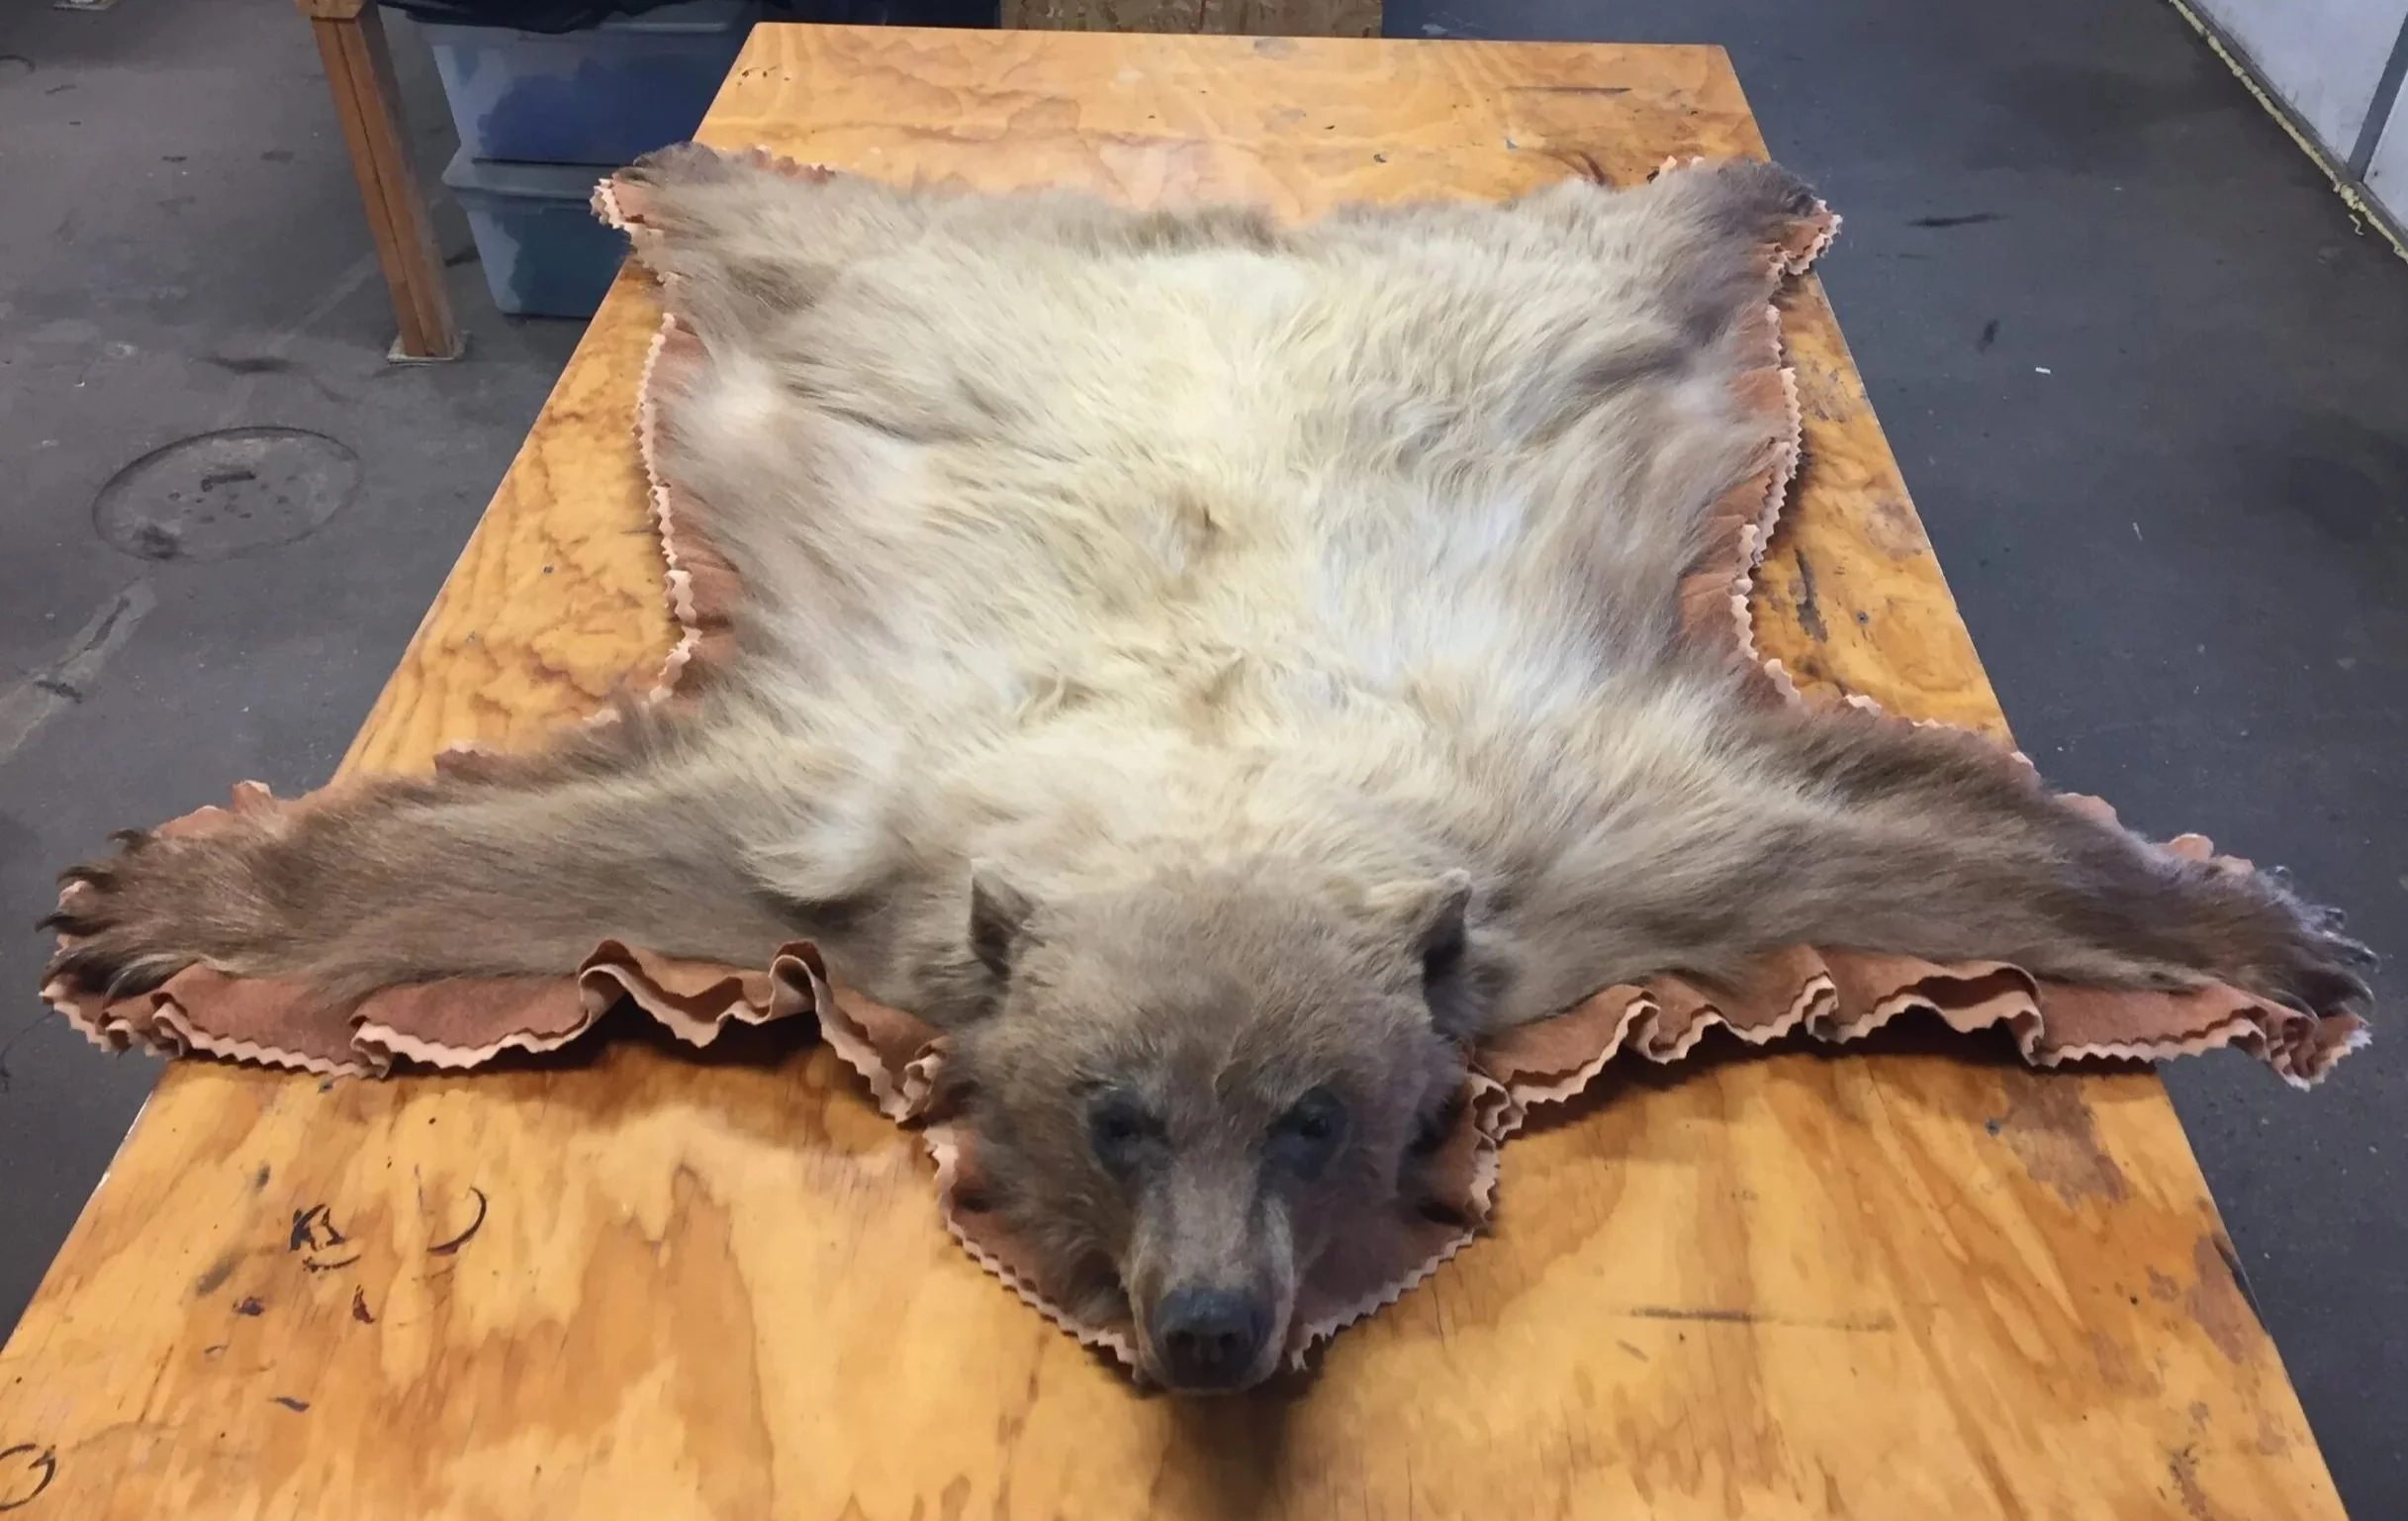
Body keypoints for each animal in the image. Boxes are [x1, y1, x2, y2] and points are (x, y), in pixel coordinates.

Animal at [43, 147, 2370, 1393]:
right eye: (1114, 1116)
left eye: (1318, 1120)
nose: (1212, 1328)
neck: (1213, 775)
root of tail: (1221, 248)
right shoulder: (857, 813)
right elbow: (541, 855)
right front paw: (149, 904)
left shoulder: (1574, 834)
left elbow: (1891, 855)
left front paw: (2255, 932)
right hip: (882, 313)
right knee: (803, 230)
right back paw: (689, 170)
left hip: (1555, 336)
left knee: (1624, 254)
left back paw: (1727, 187)